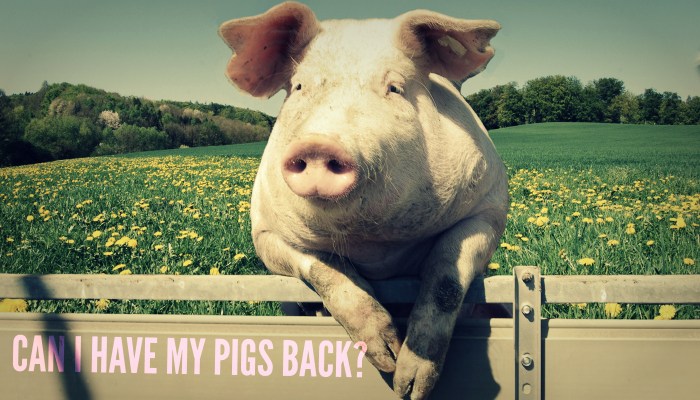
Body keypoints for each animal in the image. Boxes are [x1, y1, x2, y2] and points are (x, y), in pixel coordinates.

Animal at [219, 2, 508, 399]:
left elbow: (447, 277)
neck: (375, 245)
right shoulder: (264, 232)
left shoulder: (489, 206)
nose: (319, 143)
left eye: (395, 88)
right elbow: (324, 270)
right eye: (299, 87)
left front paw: (409, 386)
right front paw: (387, 359)